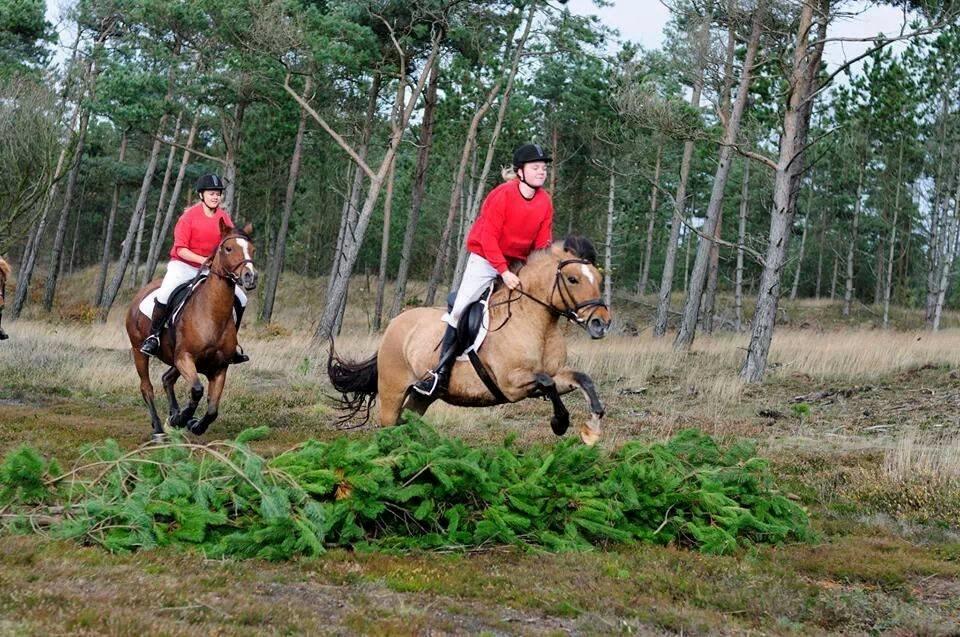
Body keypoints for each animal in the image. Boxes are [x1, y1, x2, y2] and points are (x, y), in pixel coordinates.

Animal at [125, 221, 256, 440]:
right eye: (228, 248)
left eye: (252, 250)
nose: (250, 276)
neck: (211, 315)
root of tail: (140, 294)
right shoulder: (184, 358)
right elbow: (196, 390)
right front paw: (181, 418)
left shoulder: (219, 368)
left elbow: (212, 409)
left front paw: (193, 424)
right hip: (139, 351)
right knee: (146, 387)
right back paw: (159, 428)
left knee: (167, 379)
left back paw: (173, 414)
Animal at [330, 236, 612, 444]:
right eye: (573, 279)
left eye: (598, 279)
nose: (601, 324)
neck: (536, 323)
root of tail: (394, 325)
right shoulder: (511, 385)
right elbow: (546, 382)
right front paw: (560, 422)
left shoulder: (554, 374)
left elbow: (580, 379)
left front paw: (593, 426)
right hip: (392, 391)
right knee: (388, 427)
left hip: (422, 397)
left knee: (406, 423)